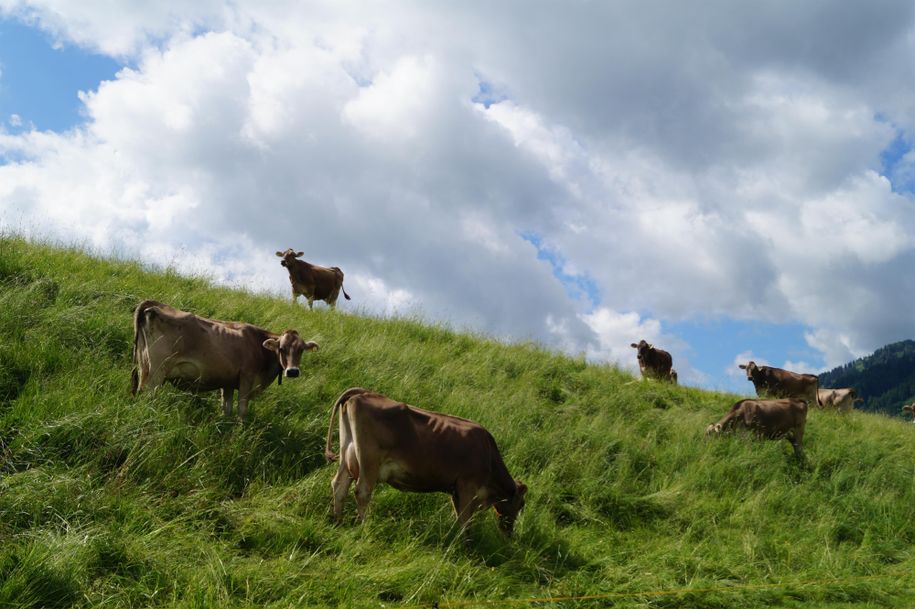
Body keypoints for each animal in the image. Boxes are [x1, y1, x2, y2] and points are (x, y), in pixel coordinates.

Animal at [131, 300, 320, 418]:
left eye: (301, 350)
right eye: (281, 348)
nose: (293, 371)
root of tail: (154, 304)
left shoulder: (228, 381)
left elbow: (226, 409)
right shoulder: (246, 377)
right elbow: (242, 410)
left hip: (143, 366)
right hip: (157, 371)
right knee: (149, 395)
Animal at [324, 388, 524, 536]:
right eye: (521, 504)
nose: (509, 532)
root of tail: (363, 392)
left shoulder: (456, 490)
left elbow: (458, 517)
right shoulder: (468, 487)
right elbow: (465, 522)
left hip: (347, 455)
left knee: (339, 485)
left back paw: (338, 522)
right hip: (369, 461)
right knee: (362, 492)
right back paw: (362, 527)